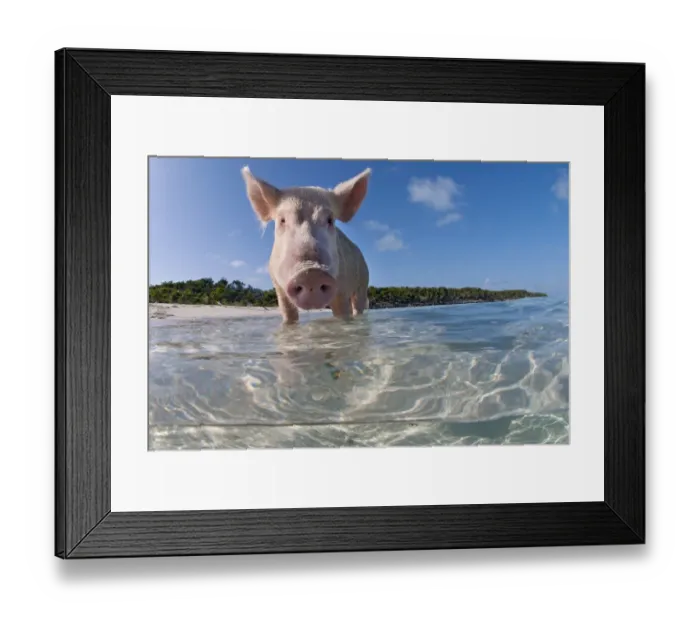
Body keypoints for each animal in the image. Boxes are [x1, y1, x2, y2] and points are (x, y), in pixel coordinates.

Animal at [241, 166, 371, 324]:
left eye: (330, 220)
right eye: (282, 220)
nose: (311, 273)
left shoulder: (342, 288)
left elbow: (342, 316)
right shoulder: (279, 288)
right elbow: (288, 315)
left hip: (363, 282)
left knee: (358, 307)